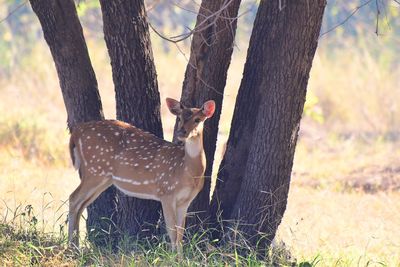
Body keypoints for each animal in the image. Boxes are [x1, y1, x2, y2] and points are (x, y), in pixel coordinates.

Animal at [68, 98, 216, 253]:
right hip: (94, 170)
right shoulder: (166, 192)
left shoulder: (185, 201)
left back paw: (76, 246)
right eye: (180, 118)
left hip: (103, 178)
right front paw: (172, 256)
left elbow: (180, 234)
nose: (181, 132)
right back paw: (72, 247)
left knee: (81, 204)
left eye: (197, 119)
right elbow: (172, 232)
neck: (187, 171)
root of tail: (77, 131)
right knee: (74, 198)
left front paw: (180, 257)